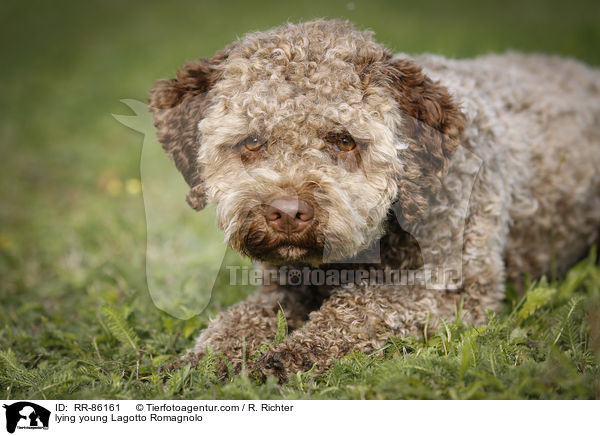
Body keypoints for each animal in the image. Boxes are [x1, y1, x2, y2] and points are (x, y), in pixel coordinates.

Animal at [146, 19, 600, 382]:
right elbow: (236, 322)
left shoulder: (456, 292)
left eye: (344, 141)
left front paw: (289, 353)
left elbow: (362, 308)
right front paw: (197, 362)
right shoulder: (283, 287)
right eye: (253, 140)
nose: (288, 213)